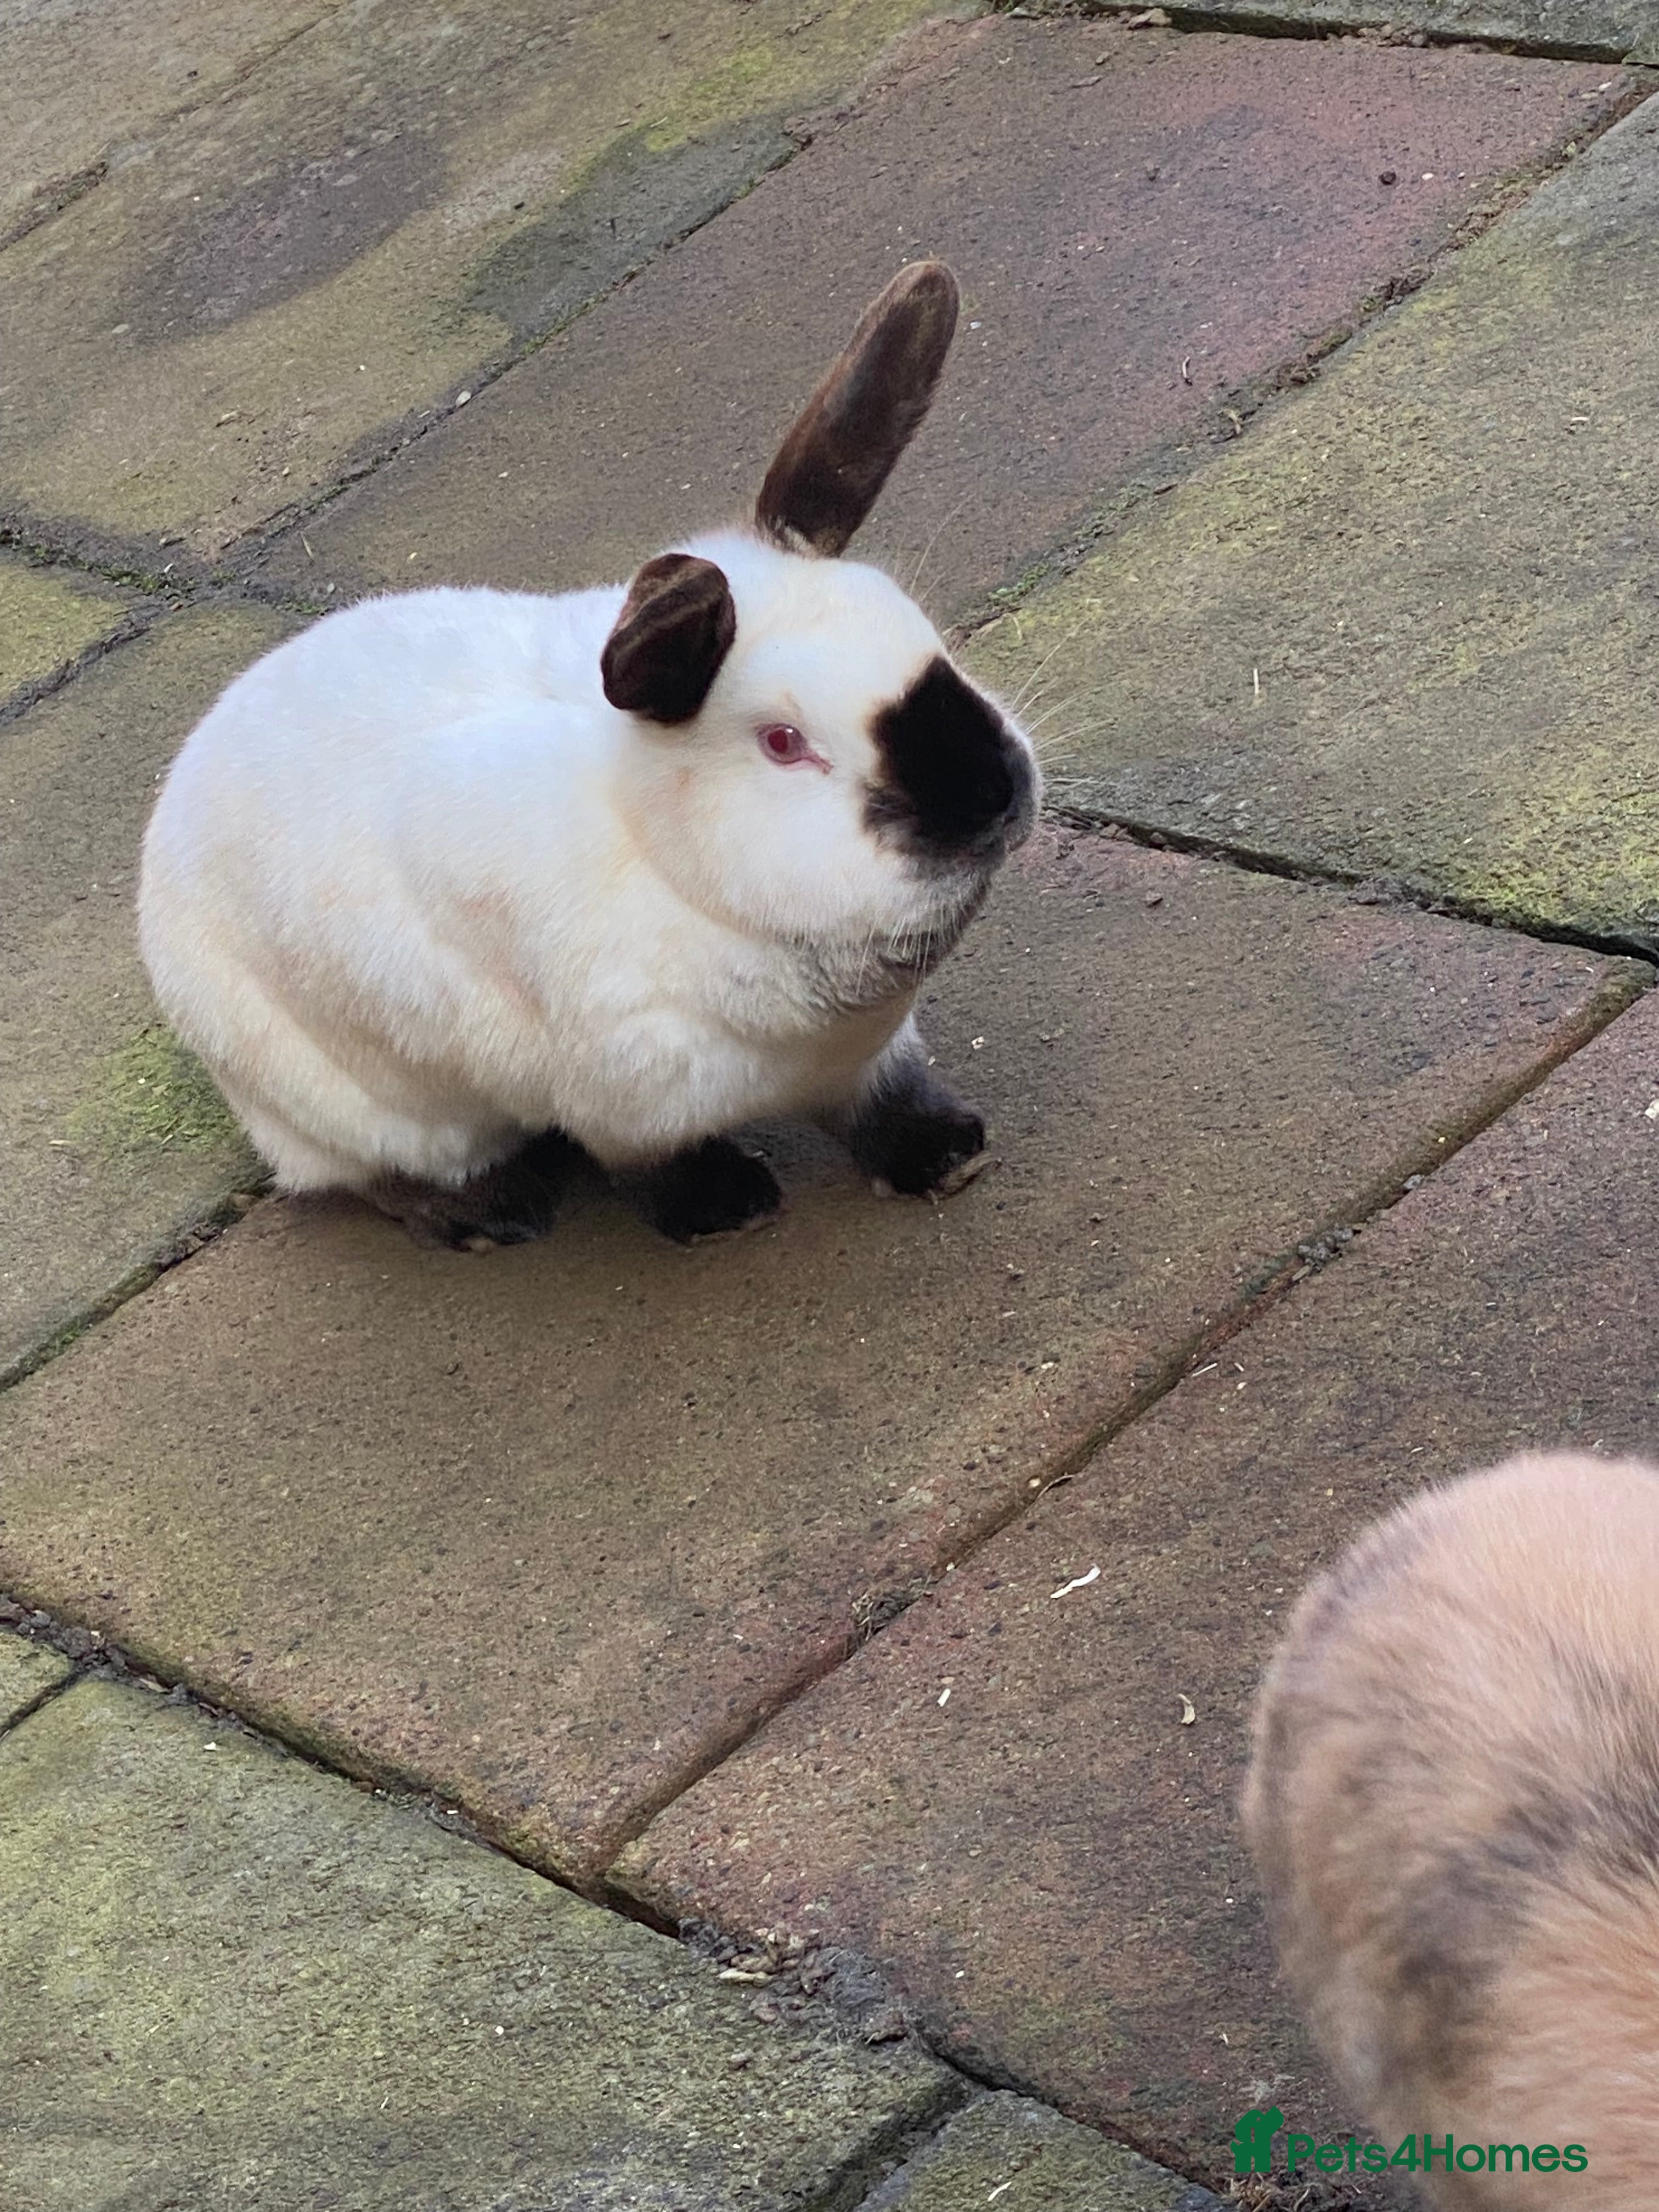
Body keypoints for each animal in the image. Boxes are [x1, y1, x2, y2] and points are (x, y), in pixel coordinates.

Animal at [138, 262, 1039, 1246]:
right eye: (784, 743)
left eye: (930, 646)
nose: (993, 796)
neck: (672, 864)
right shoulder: (620, 1101)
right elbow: (651, 1168)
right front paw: (727, 1211)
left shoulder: (866, 1056)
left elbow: (884, 1105)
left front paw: (947, 1155)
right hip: (354, 1111)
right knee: (374, 1176)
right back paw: (492, 1215)